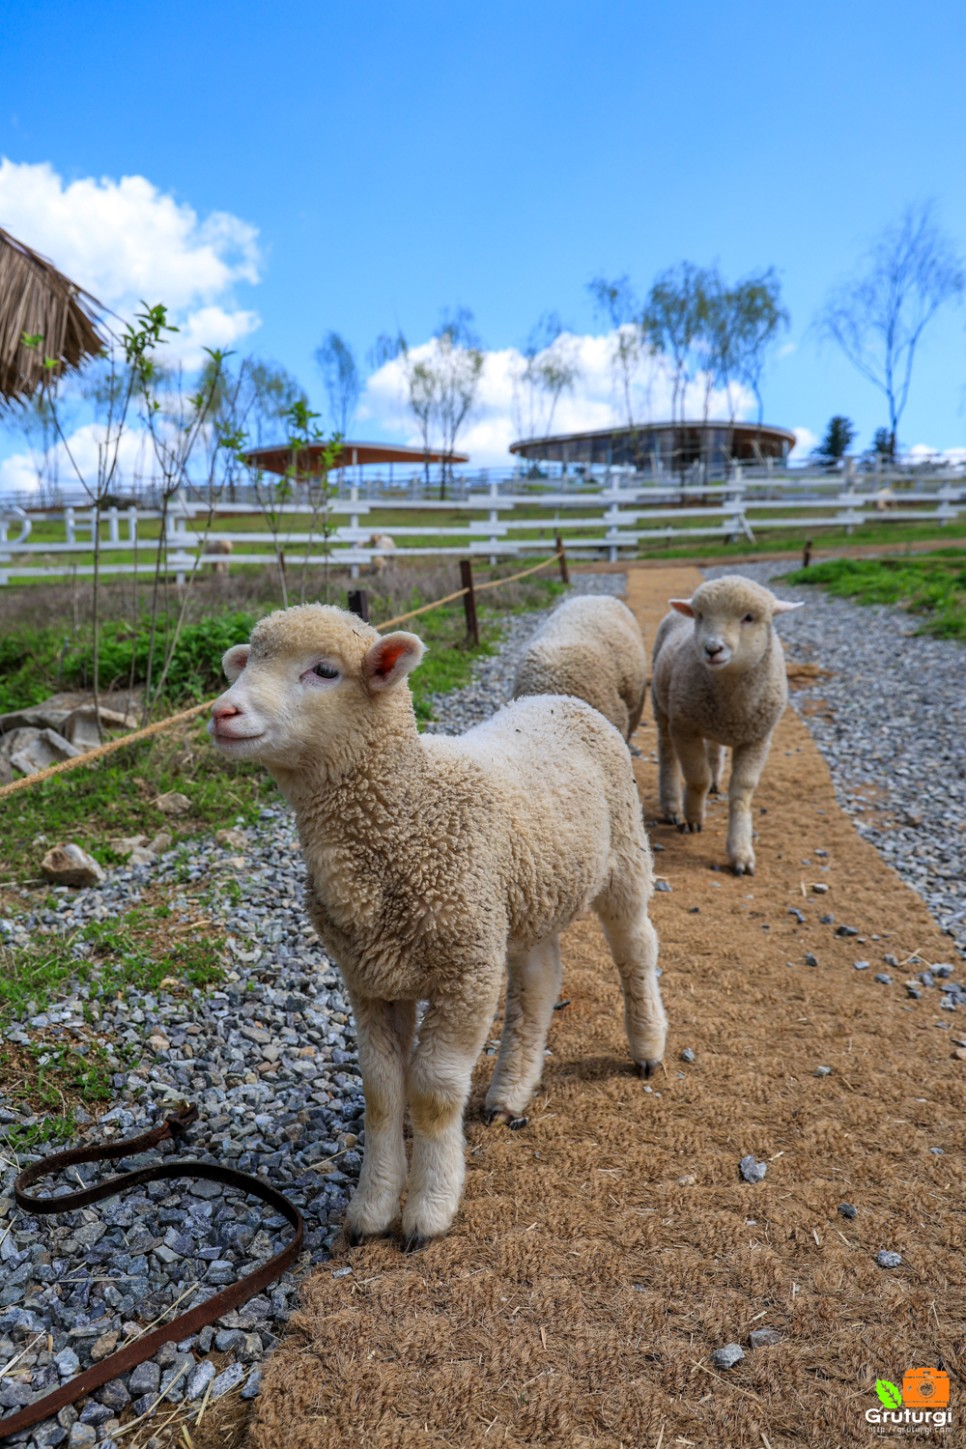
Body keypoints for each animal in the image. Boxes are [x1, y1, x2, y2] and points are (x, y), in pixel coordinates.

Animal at [654, 573, 805, 869]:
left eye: (749, 617)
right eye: (700, 615)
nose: (712, 649)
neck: (733, 705)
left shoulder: (757, 738)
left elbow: (742, 791)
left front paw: (741, 851)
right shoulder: (685, 727)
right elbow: (696, 778)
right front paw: (694, 818)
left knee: (714, 749)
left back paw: (715, 779)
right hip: (663, 709)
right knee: (668, 755)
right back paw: (672, 805)